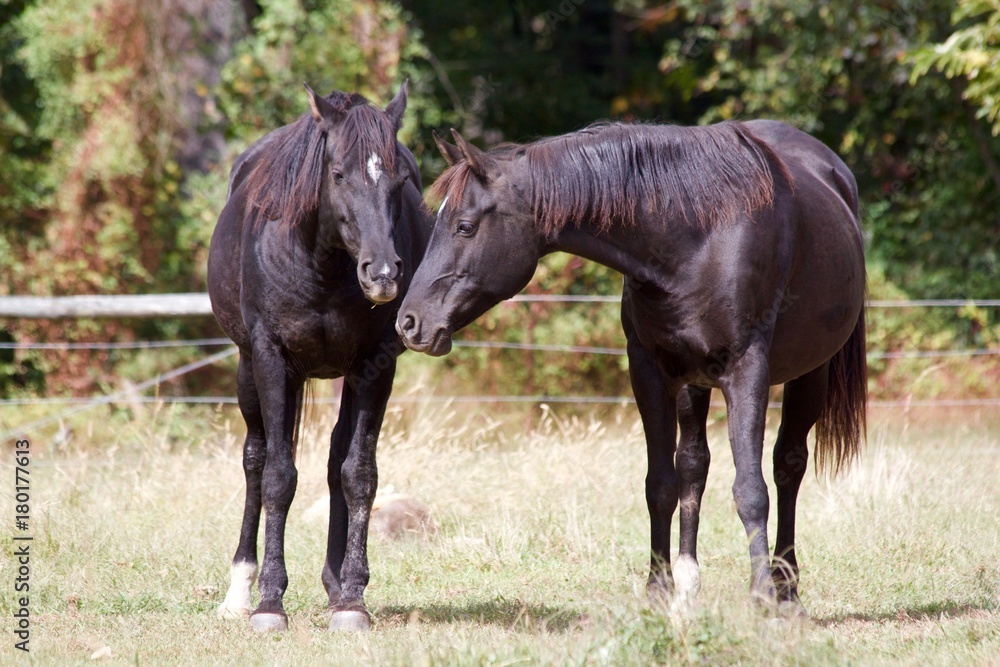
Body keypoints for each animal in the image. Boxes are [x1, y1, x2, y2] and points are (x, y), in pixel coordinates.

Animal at [207, 82, 430, 632]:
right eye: (338, 174)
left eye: (401, 179)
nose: (383, 273)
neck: (323, 264)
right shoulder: (270, 358)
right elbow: (277, 477)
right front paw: (269, 603)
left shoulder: (374, 365)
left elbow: (358, 475)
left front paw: (351, 600)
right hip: (247, 371)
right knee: (255, 459)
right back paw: (238, 590)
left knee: (335, 462)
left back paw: (334, 585)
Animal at [398, 121, 868, 616]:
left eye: (465, 227)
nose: (409, 323)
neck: (699, 236)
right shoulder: (649, 372)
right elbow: (661, 484)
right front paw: (659, 590)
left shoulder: (747, 372)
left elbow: (751, 490)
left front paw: (760, 597)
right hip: (693, 382)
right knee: (694, 465)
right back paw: (691, 584)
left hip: (808, 374)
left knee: (787, 467)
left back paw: (786, 591)